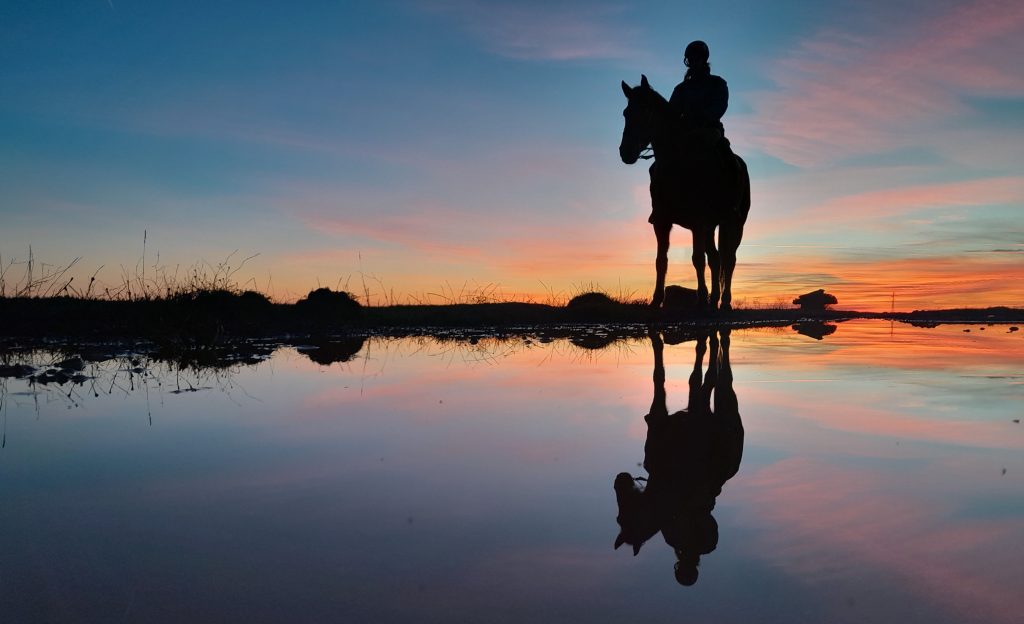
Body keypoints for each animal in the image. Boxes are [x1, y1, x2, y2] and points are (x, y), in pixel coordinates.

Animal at [614, 76, 753, 309]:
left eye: (647, 110)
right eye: (626, 112)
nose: (626, 152)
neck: (677, 165)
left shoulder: (698, 221)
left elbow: (697, 259)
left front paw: (701, 299)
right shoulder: (662, 222)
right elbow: (661, 261)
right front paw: (656, 300)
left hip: (733, 222)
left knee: (729, 259)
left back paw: (724, 302)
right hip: (711, 227)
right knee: (716, 258)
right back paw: (714, 300)